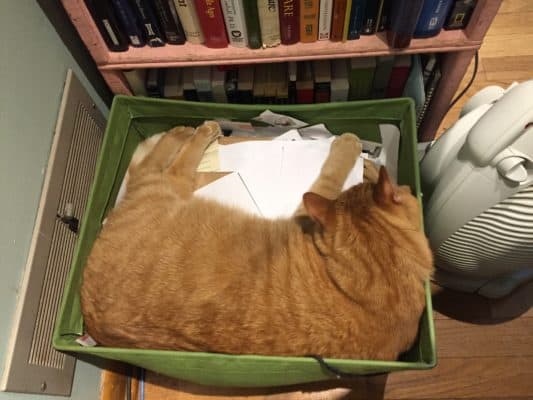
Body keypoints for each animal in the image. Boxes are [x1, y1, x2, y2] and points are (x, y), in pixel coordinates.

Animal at [82, 121, 432, 360]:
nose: (408, 188)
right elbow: (333, 175)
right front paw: (358, 155)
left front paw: (368, 164)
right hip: (167, 187)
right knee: (159, 165)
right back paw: (191, 131)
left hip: (167, 187)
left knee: (157, 166)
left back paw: (188, 132)